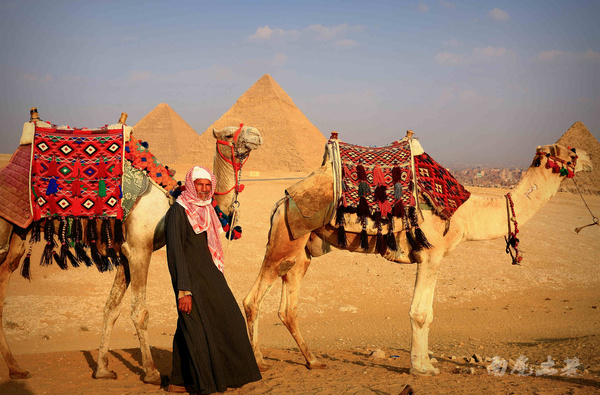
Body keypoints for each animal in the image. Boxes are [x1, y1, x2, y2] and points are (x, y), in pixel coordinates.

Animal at [0, 111, 262, 384]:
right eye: (229, 134)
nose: (256, 134)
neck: (170, 200)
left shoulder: (126, 253)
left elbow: (111, 308)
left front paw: (102, 369)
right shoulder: (139, 250)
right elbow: (140, 312)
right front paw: (152, 372)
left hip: (18, 234)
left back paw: (16, 369)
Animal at [243, 135, 592, 378]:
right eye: (572, 151)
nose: (590, 157)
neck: (466, 212)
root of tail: (281, 202)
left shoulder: (432, 258)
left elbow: (429, 312)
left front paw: (426, 364)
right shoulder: (431, 255)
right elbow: (421, 313)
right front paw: (421, 369)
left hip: (301, 252)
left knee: (287, 307)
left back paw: (313, 361)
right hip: (284, 240)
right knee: (252, 299)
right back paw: (258, 361)